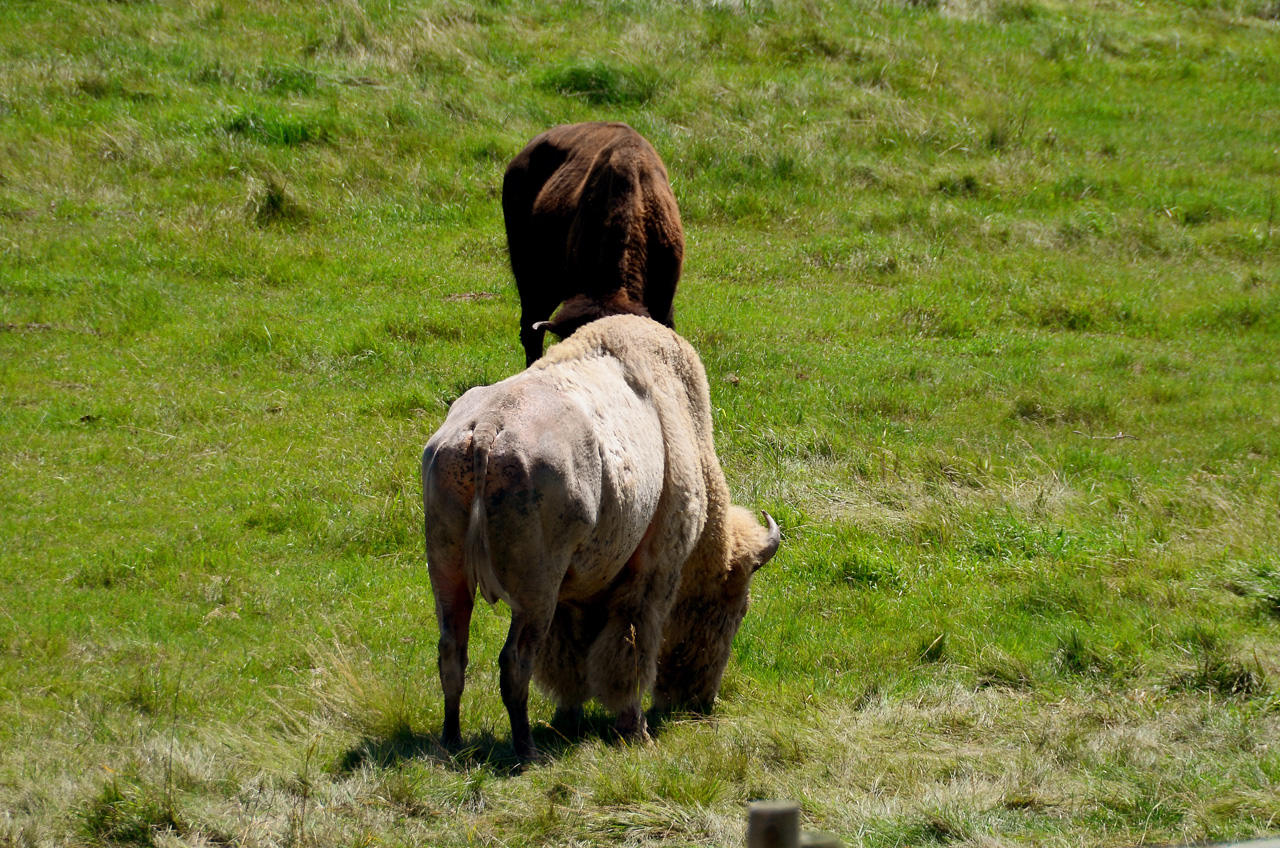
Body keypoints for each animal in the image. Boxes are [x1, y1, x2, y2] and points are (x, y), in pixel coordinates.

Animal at [422, 313, 778, 763]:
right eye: (738, 608)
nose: (697, 701)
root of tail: (486, 429)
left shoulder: (572, 591)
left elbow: (569, 656)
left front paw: (567, 718)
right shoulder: (653, 574)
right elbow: (630, 648)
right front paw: (634, 728)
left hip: (448, 574)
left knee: (452, 650)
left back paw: (452, 741)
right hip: (534, 593)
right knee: (514, 661)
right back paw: (527, 752)